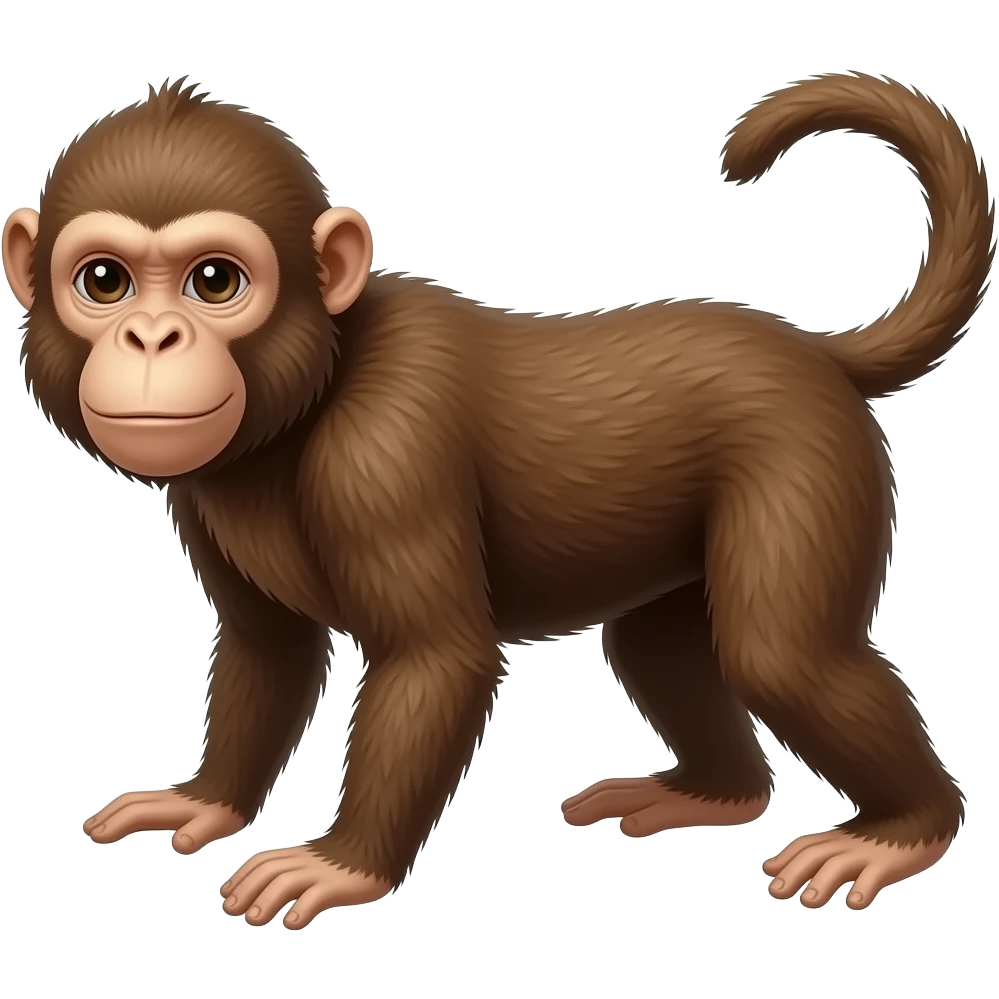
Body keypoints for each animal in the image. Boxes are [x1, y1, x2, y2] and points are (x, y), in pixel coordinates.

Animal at [3, 70, 993, 928]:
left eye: (215, 281)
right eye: (104, 281)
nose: (151, 336)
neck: (308, 395)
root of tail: (816, 353)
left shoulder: (387, 450)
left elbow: (435, 657)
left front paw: (341, 863)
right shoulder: (205, 496)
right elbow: (267, 647)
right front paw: (206, 801)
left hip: (803, 457)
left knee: (782, 655)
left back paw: (902, 831)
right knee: (659, 648)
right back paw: (712, 793)